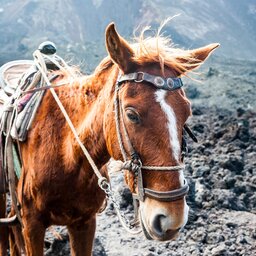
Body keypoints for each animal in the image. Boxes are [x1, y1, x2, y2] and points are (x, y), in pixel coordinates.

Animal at [0, 22, 218, 256]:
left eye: (186, 113)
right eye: (131, 114)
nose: (171, 219)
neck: (66, 152)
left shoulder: (85, 223)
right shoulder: (33, 225)